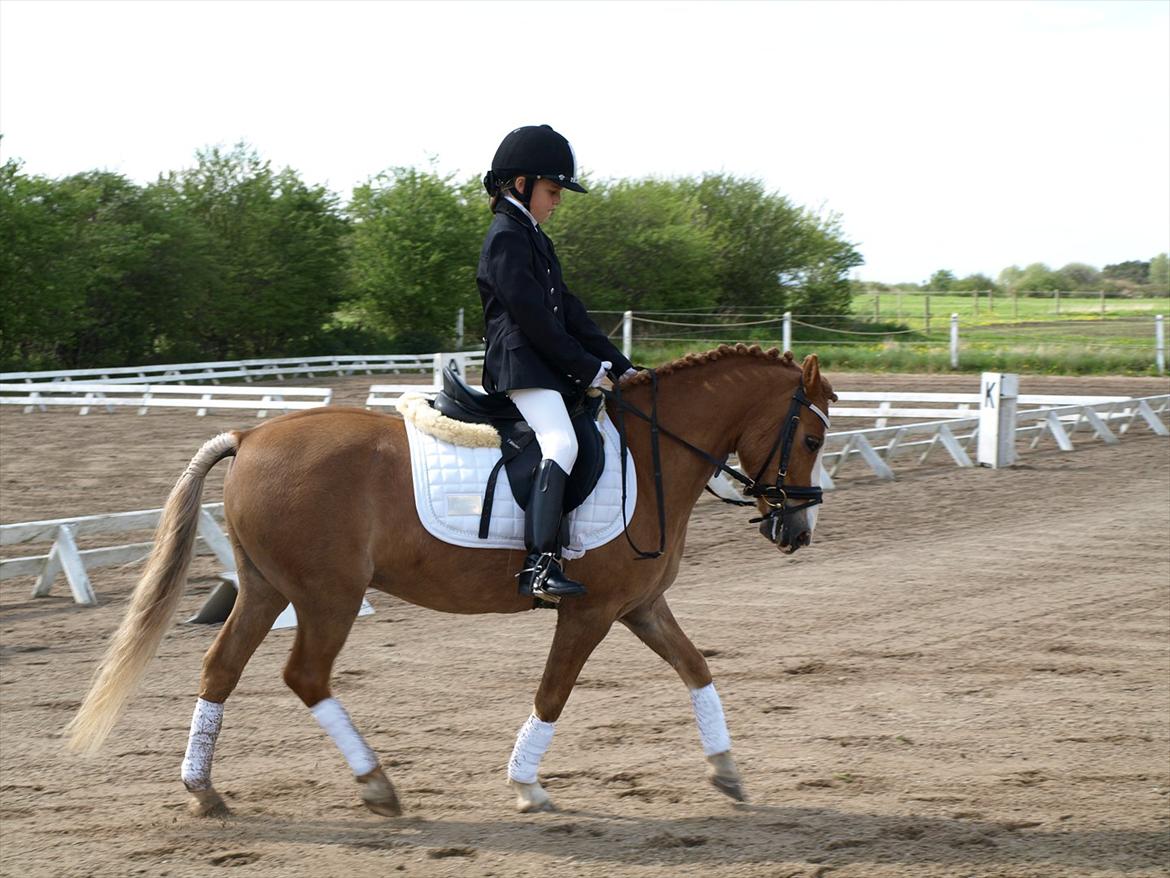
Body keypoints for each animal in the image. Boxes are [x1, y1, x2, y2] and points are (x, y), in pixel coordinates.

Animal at [65, 344, 837, 818]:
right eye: (812, 438)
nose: (797, 531)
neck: (650, 457)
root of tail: (251, 437)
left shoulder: (641, 606)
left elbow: (697, 669)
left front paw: (727, 771)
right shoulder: (589, 612)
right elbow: (553, 693)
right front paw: (527, 788)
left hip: (268, 589)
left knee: (221, 668)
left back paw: (203, 790)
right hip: (328, 596)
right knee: (304, 675)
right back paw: (377, 785)